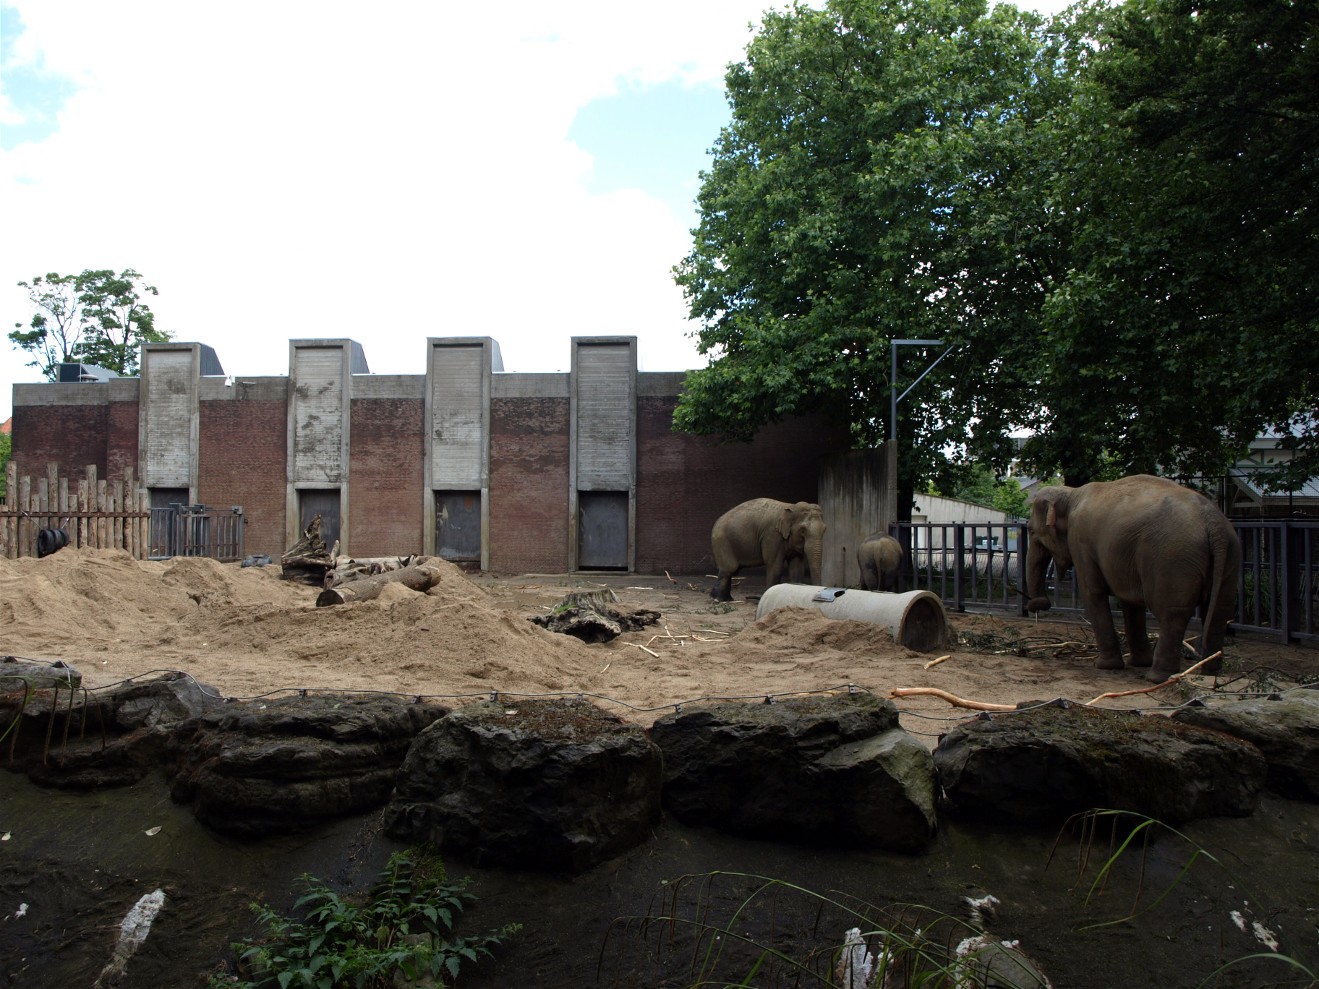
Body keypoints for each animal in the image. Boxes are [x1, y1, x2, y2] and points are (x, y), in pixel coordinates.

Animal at [1024, 474, 1240, 682]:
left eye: (1031, 531)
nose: (1037, 605)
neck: (1071, 493)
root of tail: (1213, 522)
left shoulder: (1080, 540)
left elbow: (1093, 593)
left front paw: (1102, 665)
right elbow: (1130, 602)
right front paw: (1138, 663)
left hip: (1172, 559)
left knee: (1172, 613)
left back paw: (1158, 677)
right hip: (1228, 556)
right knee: (1219, 612)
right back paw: (1209, 673)